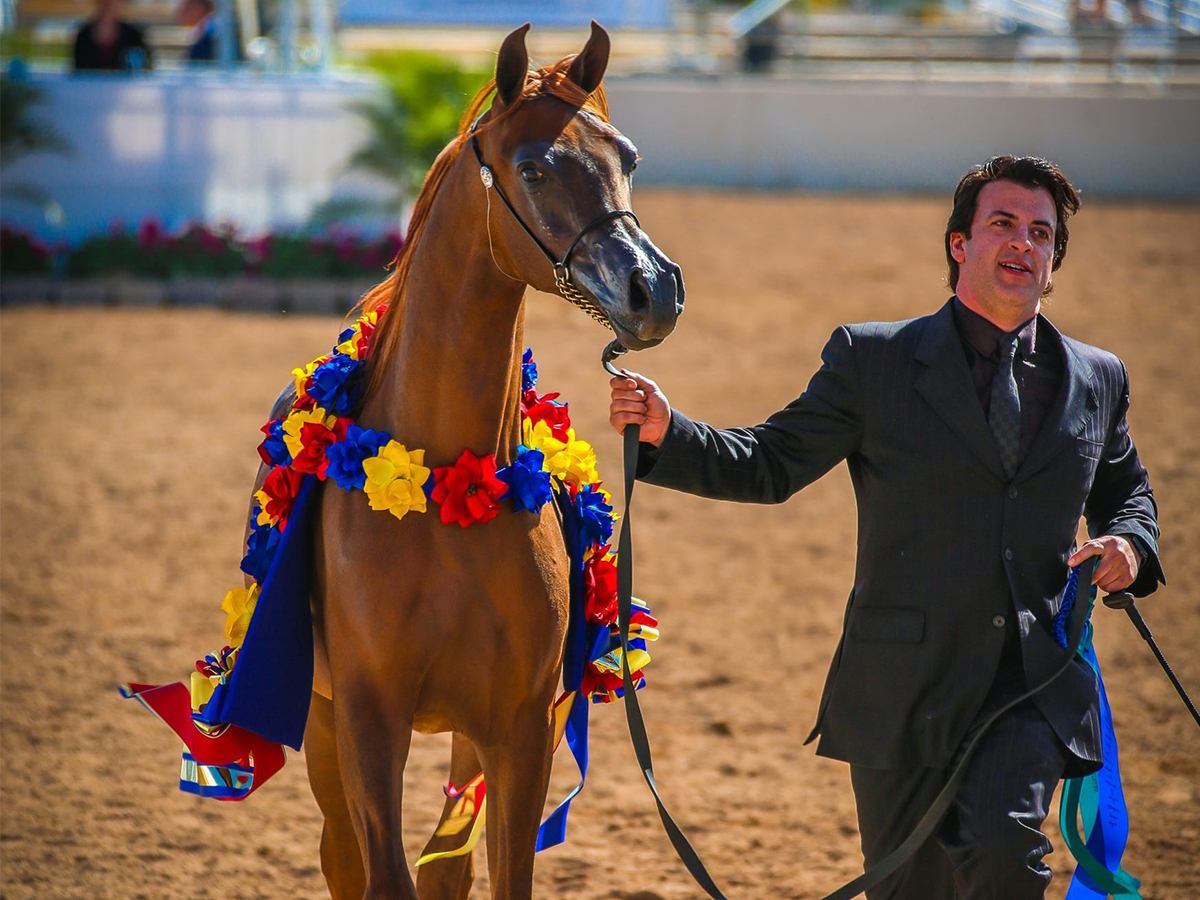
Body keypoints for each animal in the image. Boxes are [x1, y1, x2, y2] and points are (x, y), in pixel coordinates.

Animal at [253, 19, 686, 900]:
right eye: (534, 167)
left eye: (626, 157)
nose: (653, 289)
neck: (445, 494)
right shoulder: (368, 721)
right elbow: (384, 874)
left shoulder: (520, 730)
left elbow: (496, 871)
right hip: (322, 722)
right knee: (342, 855)